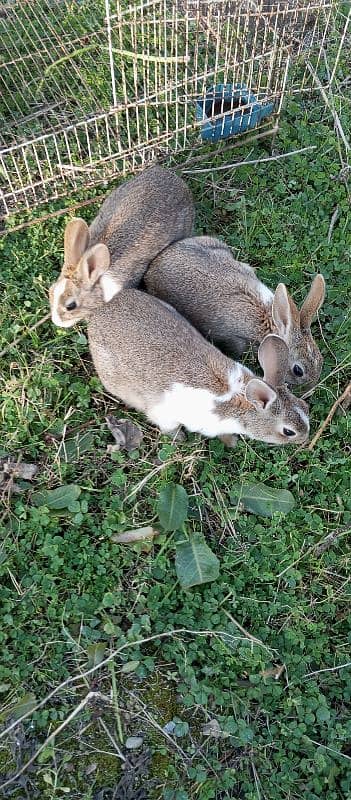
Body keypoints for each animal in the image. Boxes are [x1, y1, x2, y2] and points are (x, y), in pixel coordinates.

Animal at [50, 241, 310, 446]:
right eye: (288, 431)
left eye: (304, 406)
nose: (305, 438)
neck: (238, 401)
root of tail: (102, 310)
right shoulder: (165, 413)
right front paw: (183, 440)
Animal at [144, 233, 326, 386]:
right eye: (298, 370)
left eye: (320, 358)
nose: (312, 383)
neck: (269, 326)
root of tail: (153, 267)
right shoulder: (235, 340)